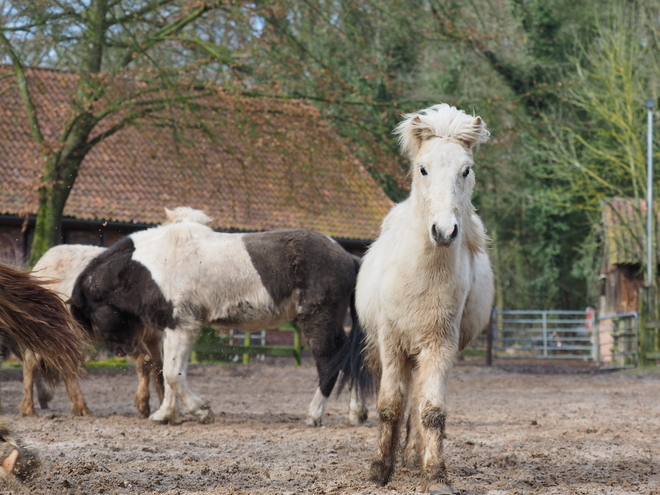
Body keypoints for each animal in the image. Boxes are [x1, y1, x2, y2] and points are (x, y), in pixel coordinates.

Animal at [358, 103, 492, 492]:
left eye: (466, 170)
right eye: (423, 168)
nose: (444, 231)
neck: (422, 276)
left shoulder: (440, 345)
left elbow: (432, 412)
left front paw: (435, 474)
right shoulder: (391, 343)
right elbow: (389, 406)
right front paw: (378, 470)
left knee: (418, 401)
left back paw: (413, 456)